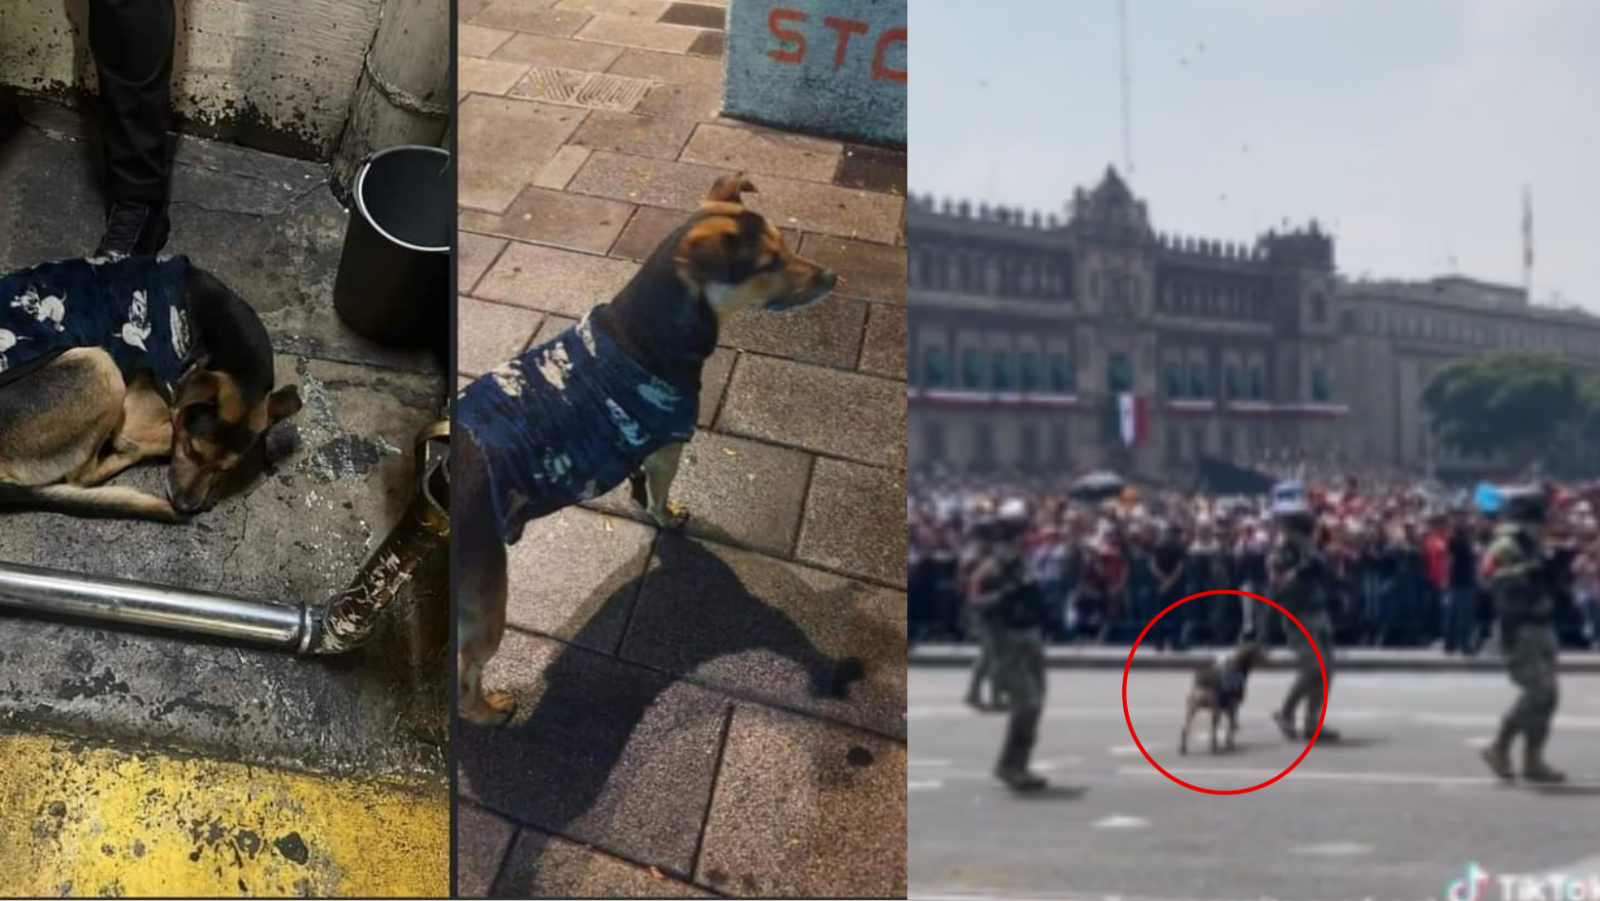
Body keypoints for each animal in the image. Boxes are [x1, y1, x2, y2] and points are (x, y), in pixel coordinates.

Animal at [0, 254, 302, 521]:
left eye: (225, 467)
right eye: (191, 449)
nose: (185, 507)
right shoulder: (146, 415)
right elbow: (166, 429)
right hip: (101, 367)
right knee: (81, 477)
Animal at [454, 174, 838, 726]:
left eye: (785, 246)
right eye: (768, 264)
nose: (833, 276)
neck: (644, 330)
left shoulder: (644, 447)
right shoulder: (668, 448)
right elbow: (658, 499)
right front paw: (665, 514)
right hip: (486, 604)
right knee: (465, 682)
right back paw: (490, 711)